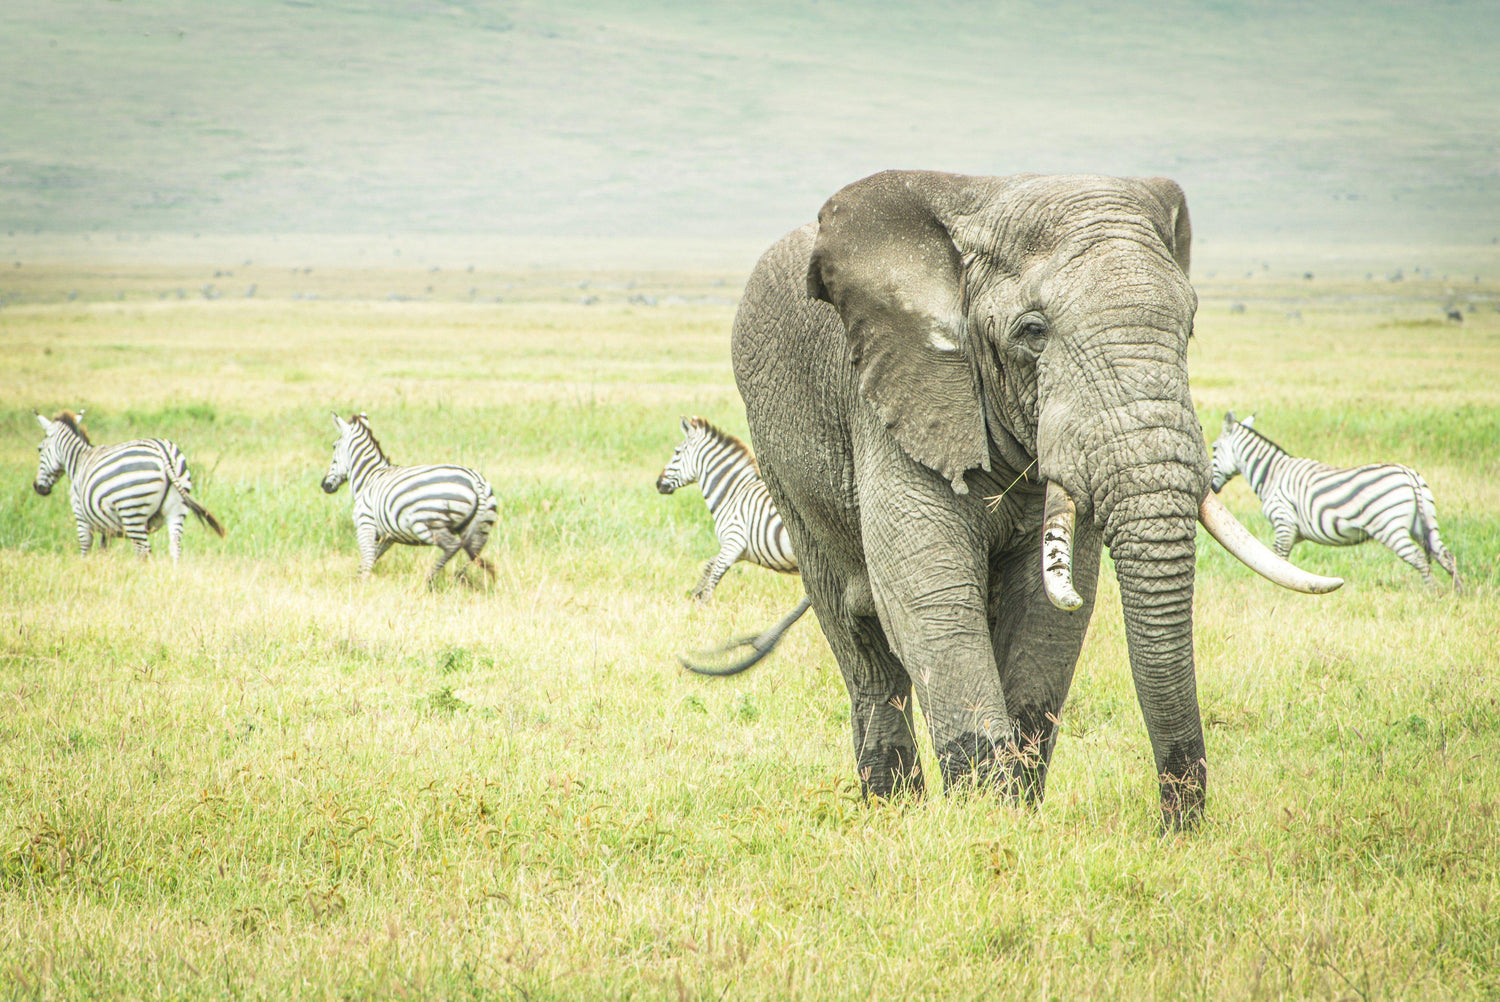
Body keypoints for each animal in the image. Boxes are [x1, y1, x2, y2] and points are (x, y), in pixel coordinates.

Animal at [32, 409, 225, 559]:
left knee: (143, 551)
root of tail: (162, 450)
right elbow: (103, 550)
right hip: (177, 507)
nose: (37, 487)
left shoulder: (81, 516)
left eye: (39, 449)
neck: (78, 460)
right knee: (174, 547)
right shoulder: (106, 525)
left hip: (133, 511)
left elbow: (85, 549)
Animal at [322, 412, 498, 588]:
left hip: (429, 523)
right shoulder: (387, 537)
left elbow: (367, 560)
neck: (368, 478)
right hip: (481, 528)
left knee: (452, 546)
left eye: (333, 446)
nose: (324, 485)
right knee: (473, 555)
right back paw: (461, 578)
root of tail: (477, 482)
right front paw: (358, 582)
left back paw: (428, 579)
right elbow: (371, 559)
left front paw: (361, 586)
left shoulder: (366, 525)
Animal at [656, 416, 798, 601]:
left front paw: (701, 604)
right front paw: (694, 594)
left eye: (677, 453)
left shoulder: (733, 541)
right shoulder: (741, 551)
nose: (658, 483)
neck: (733, 494)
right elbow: (709, 564)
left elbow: (713, 580)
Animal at [726, 171, 1341, 829]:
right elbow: (930, 594)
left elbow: (1050, 612)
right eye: (1032, 332)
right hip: (784, 458)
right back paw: (892, 810)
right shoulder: (896, 399)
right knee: (860, 642)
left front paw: (1015, 814)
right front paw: (985, 822)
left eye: (1192, 327)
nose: (1176, 827)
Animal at [1210, 412, 1461, 592]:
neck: (1272, 474)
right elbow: (1284, 561)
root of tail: (1409, 474)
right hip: (1425, 523)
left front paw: (1273, 592)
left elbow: (1279, 558)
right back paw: (1456, 593)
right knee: (1446, 556)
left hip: (1389, 527)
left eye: (1213, 448)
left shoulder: (1284, 522)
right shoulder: (1294, 531)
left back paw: (1431, 592)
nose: (1212, 487)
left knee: (1419, 558)